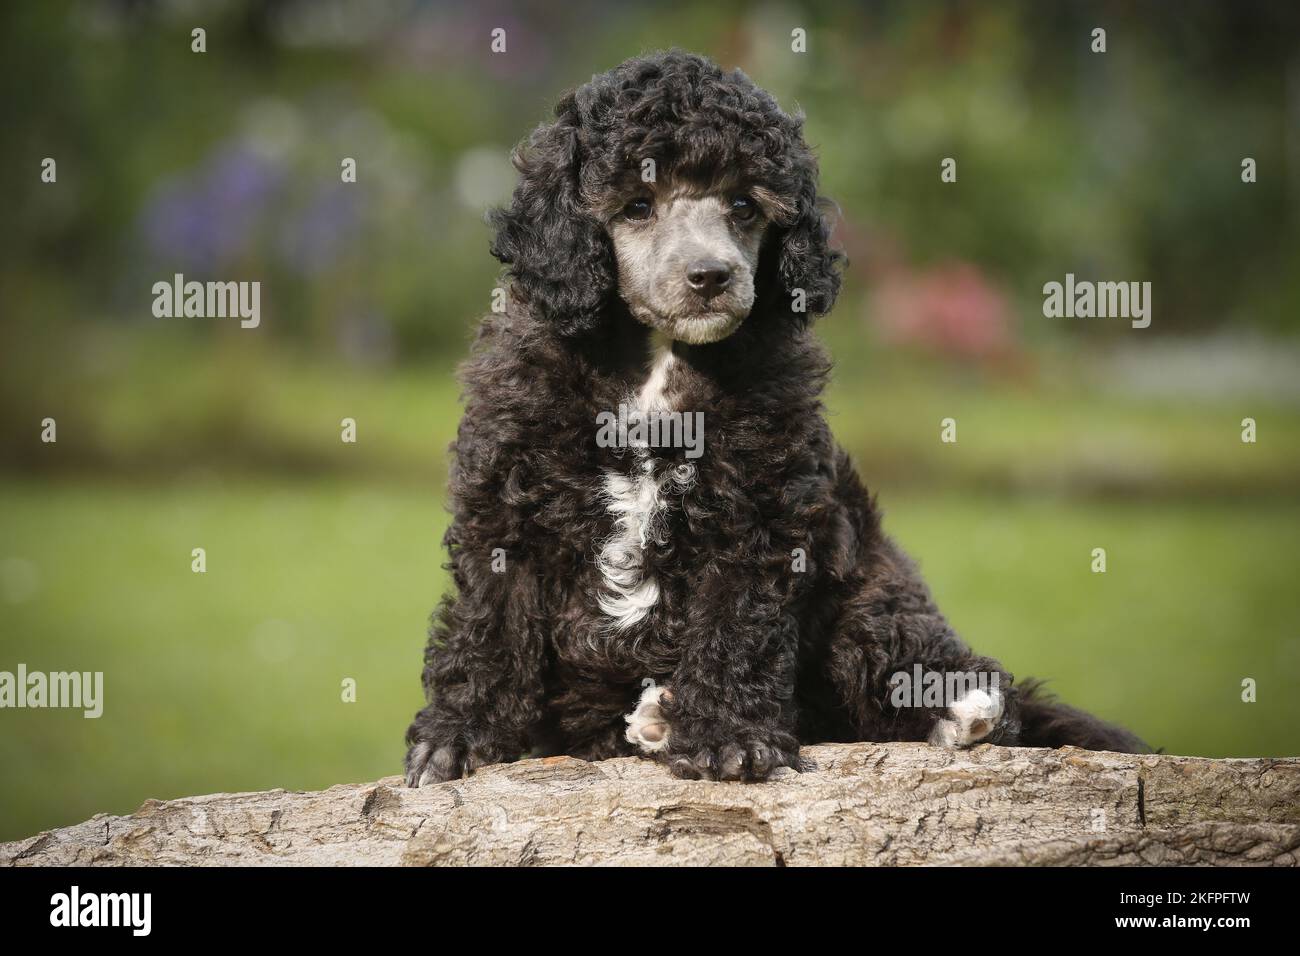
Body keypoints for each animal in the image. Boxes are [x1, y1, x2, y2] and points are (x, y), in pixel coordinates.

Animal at [405, 48, 1149, 790]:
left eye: (743, 204)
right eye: (637, 205)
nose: (711, 276)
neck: (656, 369)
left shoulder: (759, 511)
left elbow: (736, 624)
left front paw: (729, 737)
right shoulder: (507, 501)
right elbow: (489, 624)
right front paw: (460, 735)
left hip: (868, 581)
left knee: (902, 665)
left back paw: (960, 703)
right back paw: (657, 716)